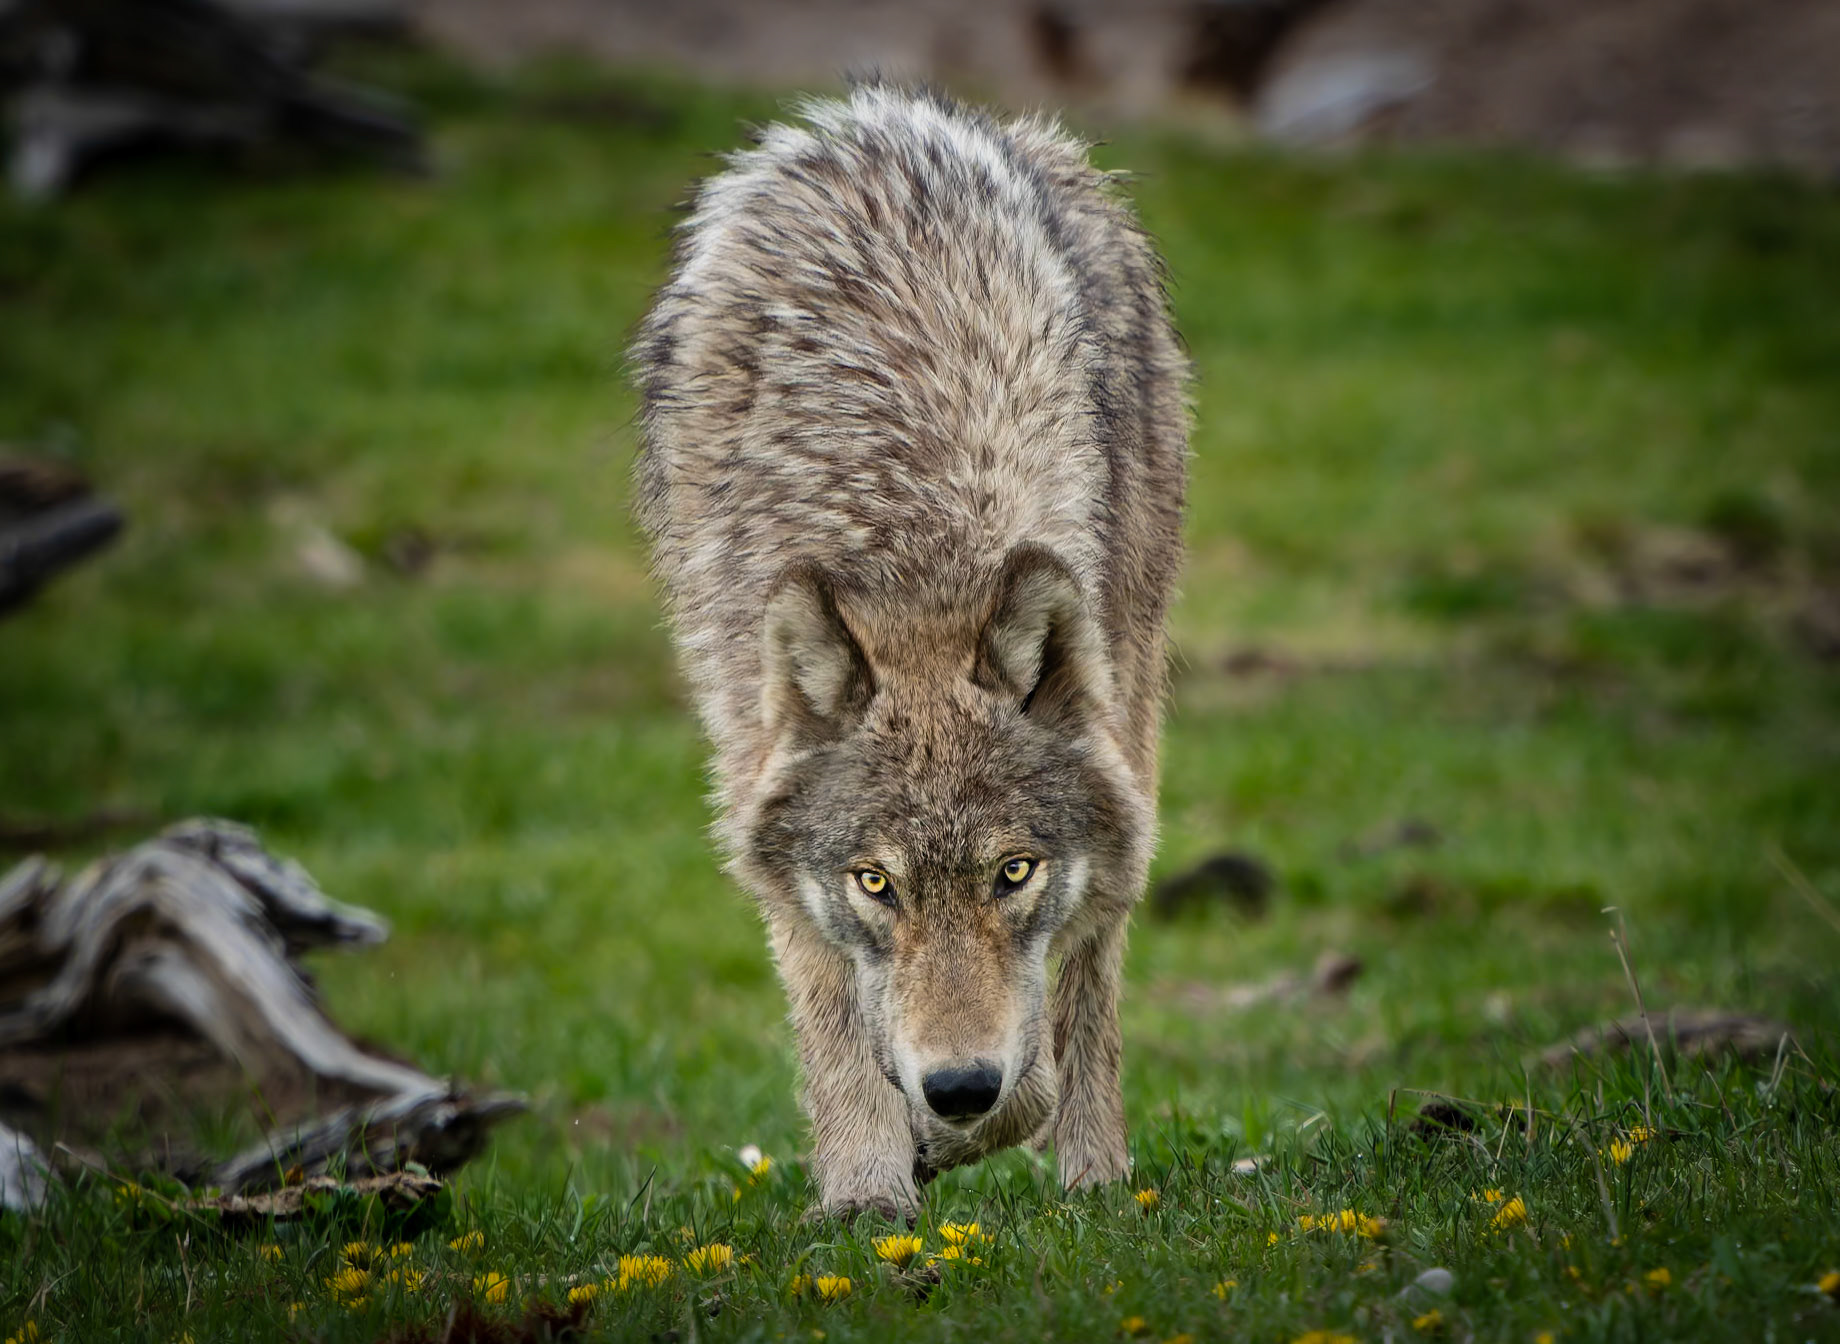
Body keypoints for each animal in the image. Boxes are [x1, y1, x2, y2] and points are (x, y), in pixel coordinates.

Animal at [632, 84, 1187, 1219]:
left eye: (1013, 871)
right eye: (875, 882)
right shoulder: (758, 778)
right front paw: (866, 1189)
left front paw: (960, 1134)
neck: (914, 556)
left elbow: (1045, 1044)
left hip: (1137, 675)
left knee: (1093, 986)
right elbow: (835, 1019)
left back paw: (1095, 1174)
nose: (959, 1084)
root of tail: (877, 116)